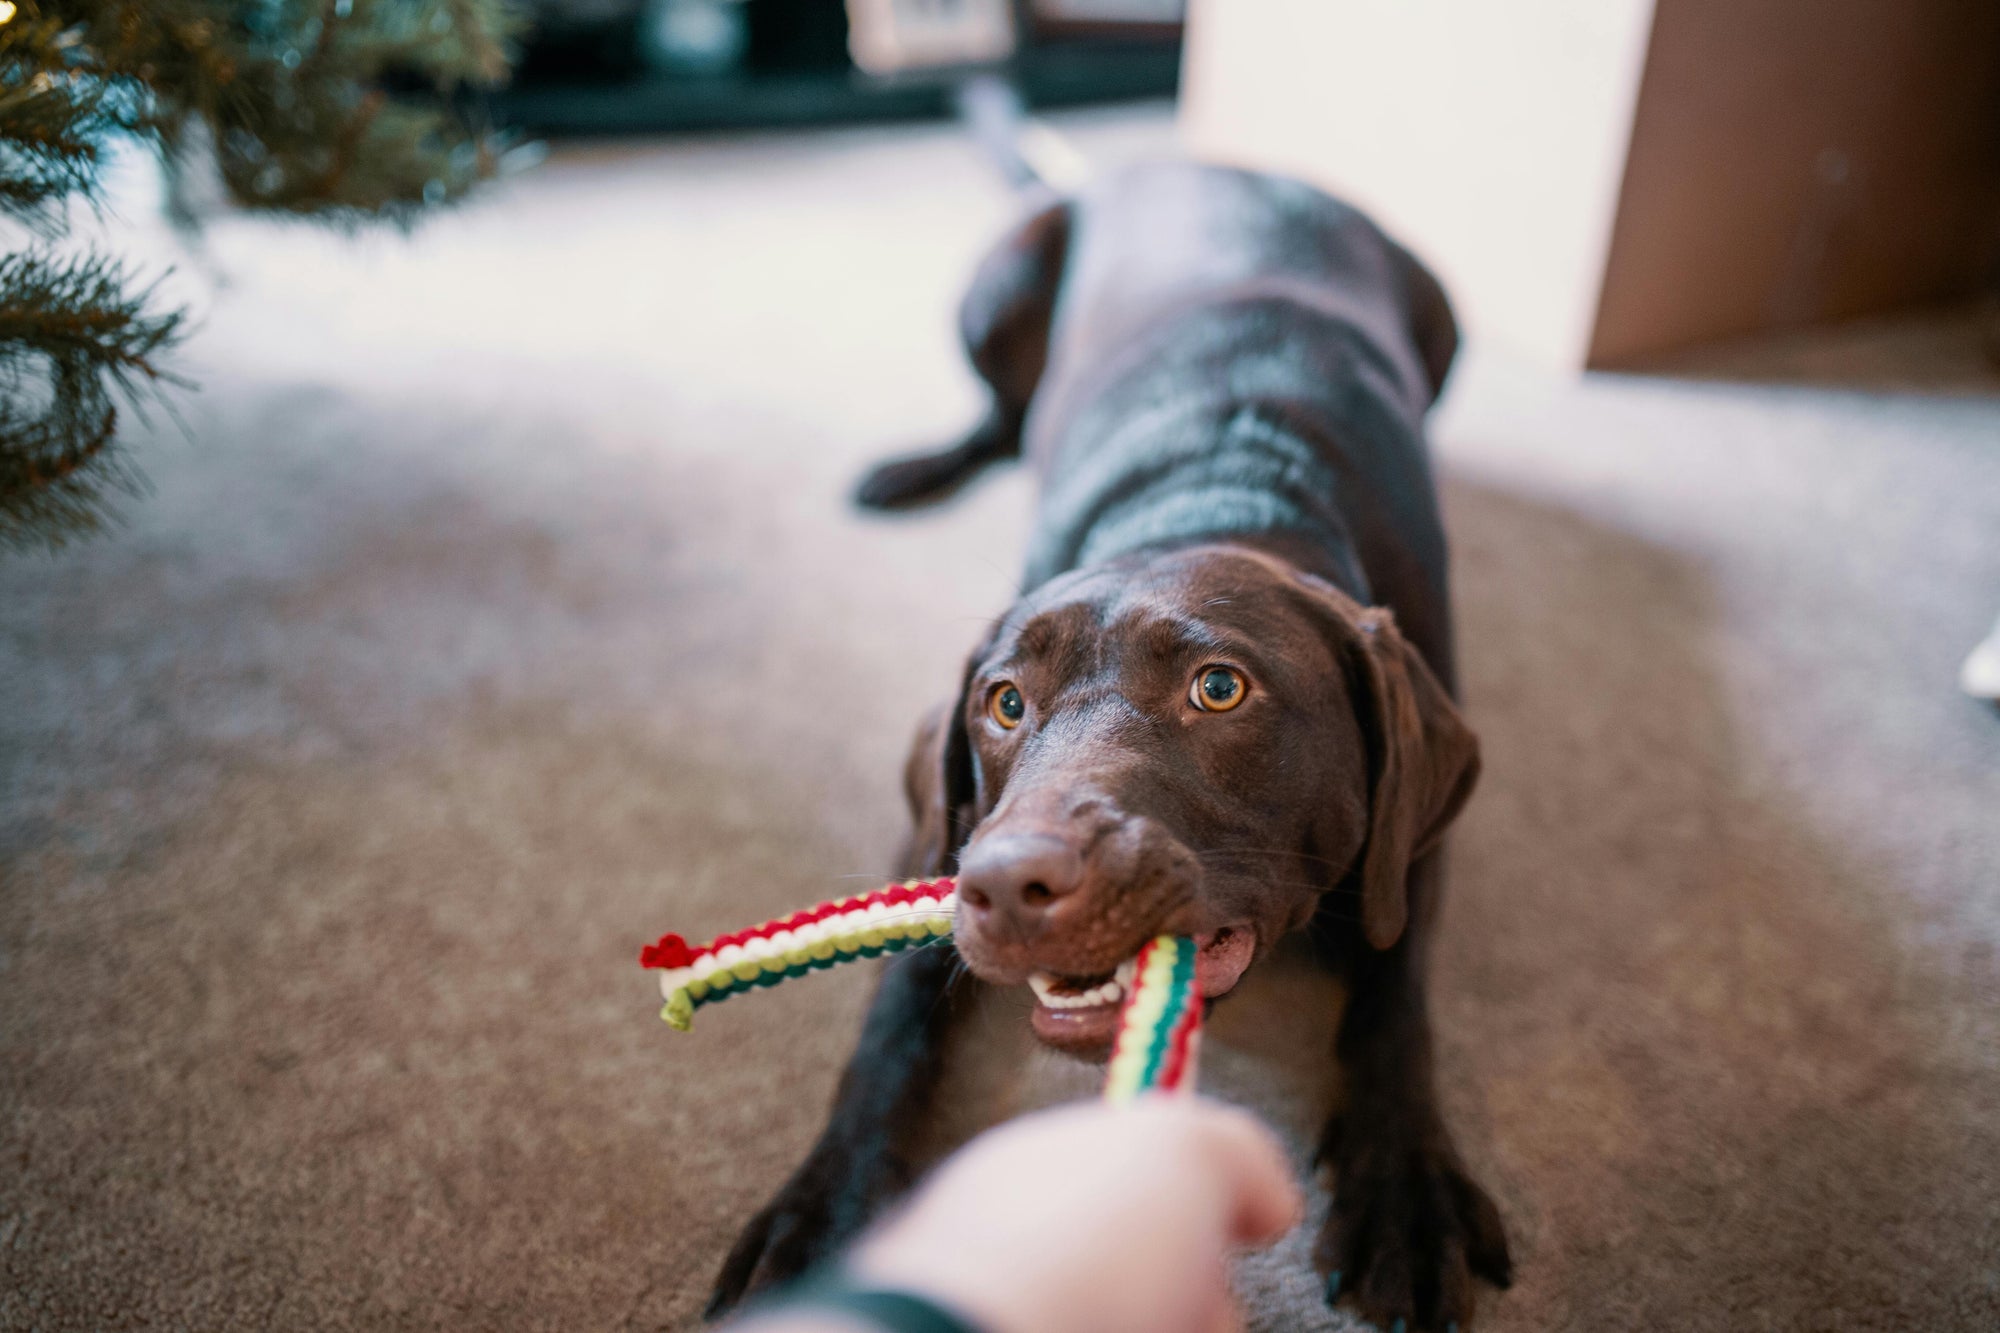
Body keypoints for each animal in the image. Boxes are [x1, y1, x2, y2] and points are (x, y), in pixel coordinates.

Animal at [712, 161, 1504, 1320]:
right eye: (1004, 703)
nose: (1010, 885)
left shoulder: (1414, 840)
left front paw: (1402, 1185)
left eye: (1219, 689)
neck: (1217, 493)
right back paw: (912, 468)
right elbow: (890, 1020)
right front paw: (824, 1205)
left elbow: (1392, 997)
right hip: (997, 283)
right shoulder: (943, 833)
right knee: (1001, 419)